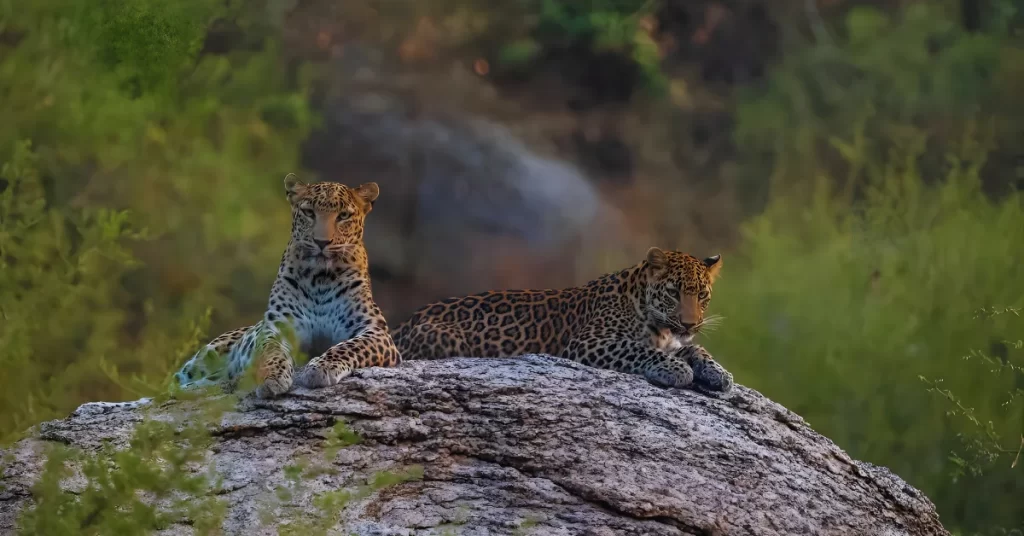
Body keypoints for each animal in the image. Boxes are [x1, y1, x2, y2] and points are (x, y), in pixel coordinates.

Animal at [174, 174, 401, 398]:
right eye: (309, 213)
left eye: (343, 215)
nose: (321, 242)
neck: (321, 278)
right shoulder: (277, 327)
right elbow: (271, 351)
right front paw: (272, 377)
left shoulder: (375, 330)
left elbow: (348, 347)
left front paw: (321, 368)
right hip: (205, 356)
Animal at [392, 247, 734, 395]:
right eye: (674, 293)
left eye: (702, 295)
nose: (690, 324)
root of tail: (401, 325)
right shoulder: (589, 342)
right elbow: (639, 349)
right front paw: (676, 370)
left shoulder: (673, 341)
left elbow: (697, 350)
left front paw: (719, 373)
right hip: (443, 337)